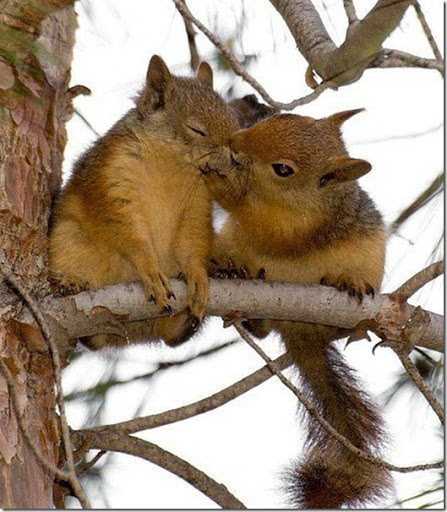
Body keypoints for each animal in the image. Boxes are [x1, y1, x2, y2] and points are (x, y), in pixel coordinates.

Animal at [206, 108, 392, 508]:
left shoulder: (296, 225)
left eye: (283, 169)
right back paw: (242, 294)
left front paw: (219, 181)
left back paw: (347, 289)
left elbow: (265, 223)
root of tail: (300, 333)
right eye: (277, 118)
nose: (235, 142)